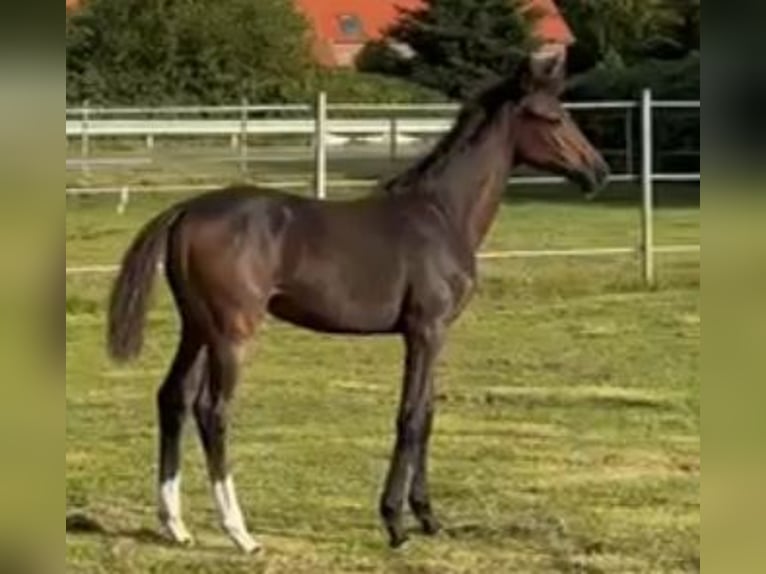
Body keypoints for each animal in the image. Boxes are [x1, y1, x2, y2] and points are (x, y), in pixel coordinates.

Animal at [106, 54, 609, 553]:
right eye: (553, 117)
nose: (598, 171)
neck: (442, 213)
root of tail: (186, 210)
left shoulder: (435, 334)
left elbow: (428, 414)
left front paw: (428, 517)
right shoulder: (426, 330)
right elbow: (410, 416)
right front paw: (395, 523)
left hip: (196, 328)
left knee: (173, 397)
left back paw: (176, 524)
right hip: (232, 332)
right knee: (212, 410)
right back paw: (240, 532)